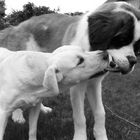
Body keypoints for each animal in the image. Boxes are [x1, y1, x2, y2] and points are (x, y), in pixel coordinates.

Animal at [0, 1, 140, 140]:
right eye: (122, 39)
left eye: (136, 45)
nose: (133, 61)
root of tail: (16, 27)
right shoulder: (77, 86)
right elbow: (80, 117)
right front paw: (80, 137)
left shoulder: (94, 84)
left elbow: (101, 112)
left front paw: (101, 136)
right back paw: (18, 116)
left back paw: (42, 108)